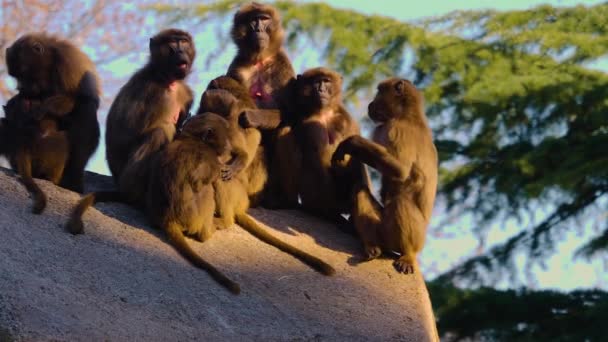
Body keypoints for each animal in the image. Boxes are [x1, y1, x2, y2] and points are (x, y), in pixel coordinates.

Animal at [5, 33, 101, 194]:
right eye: (17, 77)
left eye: (23, 74)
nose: (21, 86)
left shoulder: (69, 65)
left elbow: (74, 99)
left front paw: (43, 108)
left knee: (85, 107)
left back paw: (72, 183)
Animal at [64, 114, 240, 294]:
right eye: (225, 139)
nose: (229, 148)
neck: (194, 139)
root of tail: (167, 219)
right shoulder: (210, 159)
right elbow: (201, 181)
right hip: (195, 218)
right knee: (208, 189)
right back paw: (207, 232)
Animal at [104, 28, 200, 206]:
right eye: (172, 44)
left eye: (183, 42)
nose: (181, 52)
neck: (166, 79)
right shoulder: (153, 92)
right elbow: (125, 137)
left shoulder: (186, 94)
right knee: (158, 133)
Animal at [226, 2, 300, 208]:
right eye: (254, 20)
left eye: (264, 19)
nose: (258, 29)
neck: (259, 60)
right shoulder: (238, 67)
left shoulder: (283, 66)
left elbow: (290, 113)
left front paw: (253, 116)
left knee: (285, 129)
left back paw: (282, 200)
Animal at [332, 78, 436, 276]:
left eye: (379, 92)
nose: (371, 103)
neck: (408, 115)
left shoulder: (396, 129)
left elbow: (400, 170)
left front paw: (351, 143)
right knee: (360, 190)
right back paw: (371, 246)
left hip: (404, 235)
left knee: (399, 202)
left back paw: (407, 254)